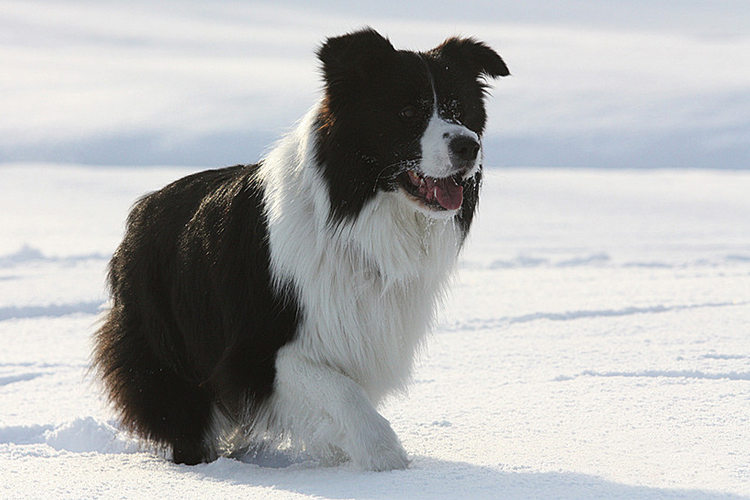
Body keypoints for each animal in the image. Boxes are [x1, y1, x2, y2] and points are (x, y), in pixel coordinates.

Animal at [91, 27, 508, 470]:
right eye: (409, 111)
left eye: (461, 109)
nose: (468, 146)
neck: (356, 216)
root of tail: (140, 213)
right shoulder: (258, 352)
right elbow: (343, 392)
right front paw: (386, 462)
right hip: (167, 357)